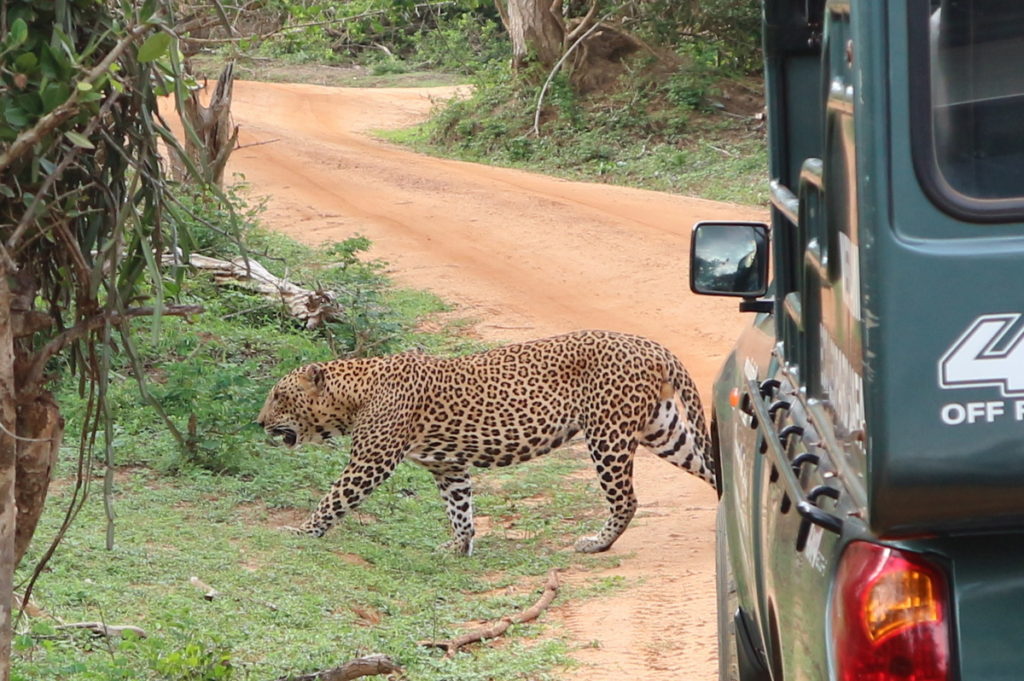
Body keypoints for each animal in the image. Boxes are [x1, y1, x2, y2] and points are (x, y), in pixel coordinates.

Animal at [260, 327, 716, 557]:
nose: (259, 421)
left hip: (608, 432)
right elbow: (460, 508)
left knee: (626, 498)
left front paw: (301, 531)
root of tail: (652, 346)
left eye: (279, 395)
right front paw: (458, 546)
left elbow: (332, 499)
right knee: (710, 466)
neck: (353, 395)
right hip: (663, 429)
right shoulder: (448, 466)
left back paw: (596, 543)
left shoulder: (370, 462)